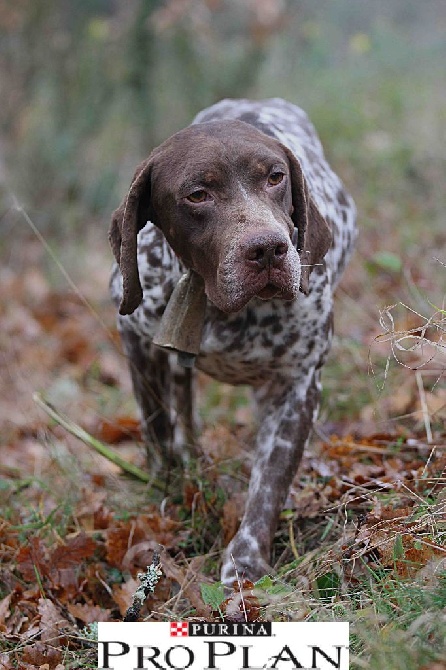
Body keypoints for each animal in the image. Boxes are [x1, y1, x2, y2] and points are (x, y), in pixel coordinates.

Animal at [110, 97, 358, 584]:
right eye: (197, 194)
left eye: (275, 177)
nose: (267, 249)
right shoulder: (138, 341)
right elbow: (157, 430)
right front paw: (168, 499)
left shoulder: (297, 384)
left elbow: (268, 485)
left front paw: (244, 564)